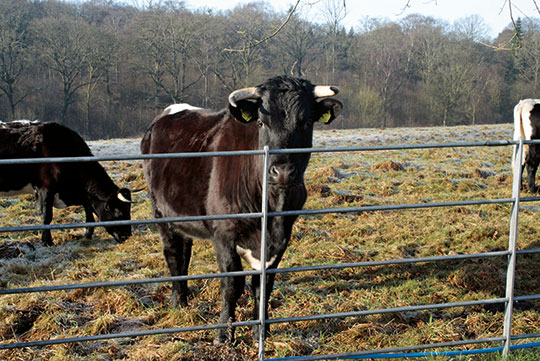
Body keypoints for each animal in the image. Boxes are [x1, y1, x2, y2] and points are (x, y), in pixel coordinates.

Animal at [0, 121, 133, 245]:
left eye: (128, 210)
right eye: (118, 212)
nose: (126, 236)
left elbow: (89, 212)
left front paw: (87, 234)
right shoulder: (45, 189)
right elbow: (46, 217)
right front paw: (47, 242)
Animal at [140, 74, 342, 342]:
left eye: (306, 121)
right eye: (261, 122)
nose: (283, 172)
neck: (271, 206)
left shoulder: (281, 238)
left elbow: (263, 287)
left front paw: (260, 331)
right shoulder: (223, 235)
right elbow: (232, 285)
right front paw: (224, 333)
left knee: (185, 251)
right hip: (160, 212)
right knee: (173, 253)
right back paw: (179, 301)